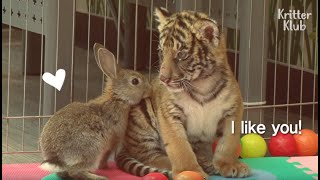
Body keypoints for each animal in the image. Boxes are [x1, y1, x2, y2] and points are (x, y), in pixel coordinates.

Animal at [39, 43, 152, 179]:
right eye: (135, 81)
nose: (150, 89)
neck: (117, 98)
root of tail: (56, 157)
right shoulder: (113, 139)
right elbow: (107, 155)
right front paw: (105, 167)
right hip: (92, 149)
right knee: (74, 171)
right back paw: (98, 177)